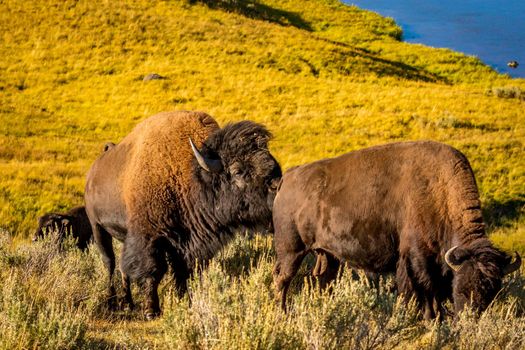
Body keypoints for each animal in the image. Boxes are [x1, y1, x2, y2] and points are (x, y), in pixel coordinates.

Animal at [85, 110, 282, 318]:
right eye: (237, 171)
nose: (277, 187)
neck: (191, 173)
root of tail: (93, 173)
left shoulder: (184, 242)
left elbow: (182, 272)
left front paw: (184, 301)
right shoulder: (149, 238)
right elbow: (153, 271)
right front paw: (151, 310)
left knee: (123, 268)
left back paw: (128, 302)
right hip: (97, 227)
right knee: (110, 262)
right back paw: (111, 300)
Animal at [274, 141, 520, 318]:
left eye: (493, 292)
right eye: (461, 288)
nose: (470, 319)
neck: (440, 193)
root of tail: (287, 178)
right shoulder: (416, 259)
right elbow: (423, 290)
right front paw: (429, 319)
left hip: (327, 255)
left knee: (323, 280)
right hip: (291, 250)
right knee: (282, 278)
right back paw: (281, 313)